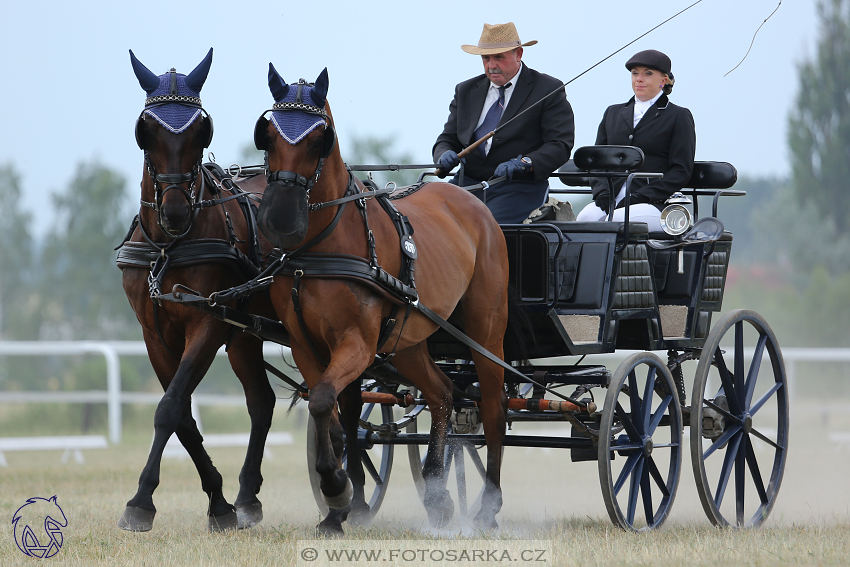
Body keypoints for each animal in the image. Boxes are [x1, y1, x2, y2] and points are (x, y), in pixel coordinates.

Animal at [114, 48, 274, 532]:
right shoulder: (155, 334)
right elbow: (182, 414)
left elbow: (170, 407)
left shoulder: (207, 323)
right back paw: (247, 495)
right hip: (245, 334)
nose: (175, 211)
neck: (169, 246)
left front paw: (140, 501)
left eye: (201, 130)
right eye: (145, 131)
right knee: (262, 402)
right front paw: (220, 503)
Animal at [253, 64, 510, 536]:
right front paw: (342, 504)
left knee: (493, 405)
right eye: (269, 134)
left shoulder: (356, 341)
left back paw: (487, 507)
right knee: (443, 393)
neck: (321, 246)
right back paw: (437, 494)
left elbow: (323, 401)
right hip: (408, 341)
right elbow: (338, 417)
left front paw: (337, 488)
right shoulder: (305, 345)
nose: (278, 218)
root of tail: (470, 199)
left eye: (320, 138)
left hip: (486, 330)